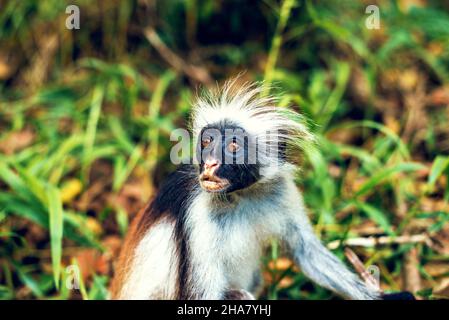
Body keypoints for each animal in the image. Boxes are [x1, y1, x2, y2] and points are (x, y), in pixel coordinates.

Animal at [110, 80, 380, 300]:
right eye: (207, 142)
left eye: (233, 145)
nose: (210, 162)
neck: (241, 195)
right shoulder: (196, 211)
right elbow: (202, 295)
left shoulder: (282, 190)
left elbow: (306, 252)